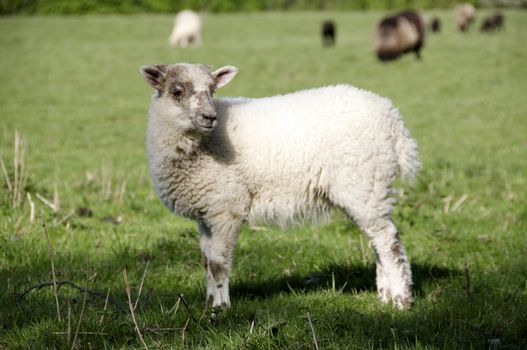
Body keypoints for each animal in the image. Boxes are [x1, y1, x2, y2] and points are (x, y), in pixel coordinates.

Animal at [139, 62, 420, 308]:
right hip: (366, 188)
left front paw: (220, 307)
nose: (210, 116)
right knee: (378, 240)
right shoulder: (206, 212)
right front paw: (209, 302)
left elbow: (218, 262)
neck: (201, 145)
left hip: (365, 182)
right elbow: (207, 261)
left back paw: (400, 300)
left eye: (212, 90)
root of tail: (392, 119)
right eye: (177, 91)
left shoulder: (226, 207)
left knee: (389, 242)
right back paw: (384, 295)